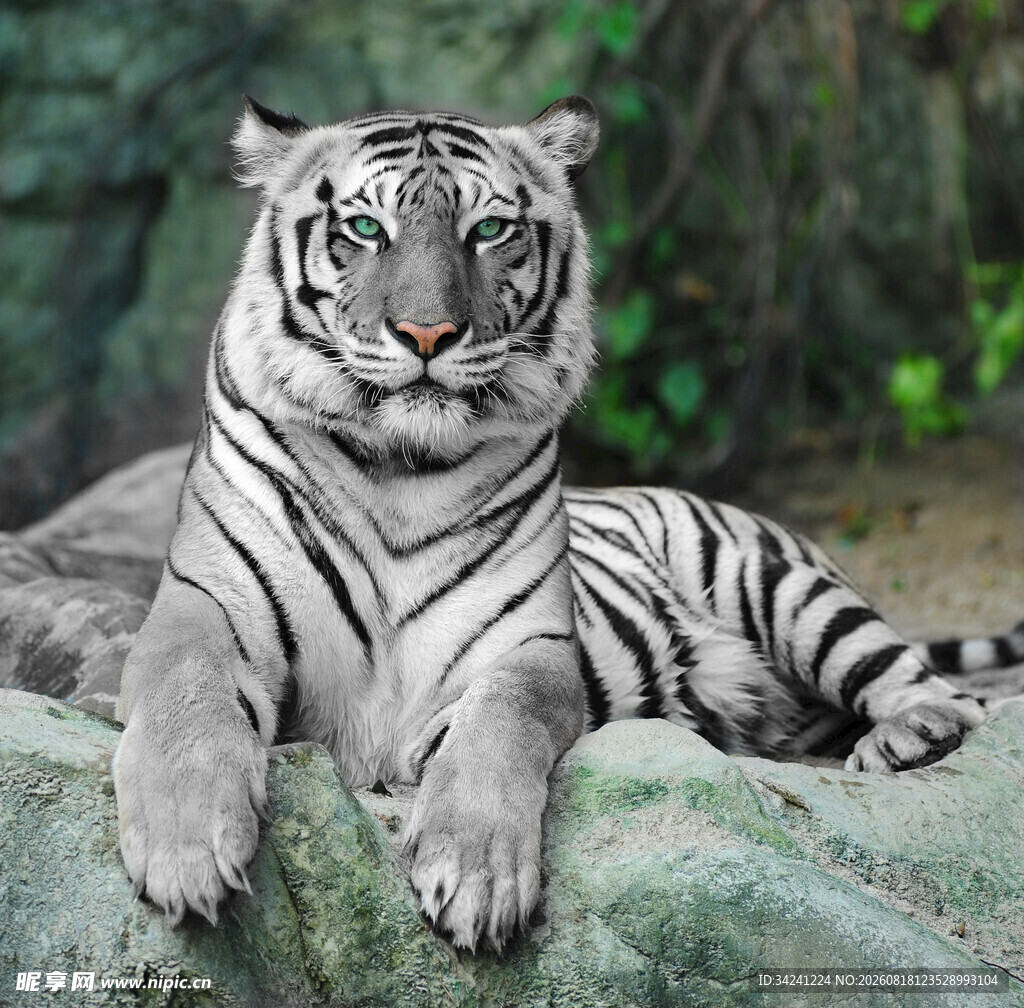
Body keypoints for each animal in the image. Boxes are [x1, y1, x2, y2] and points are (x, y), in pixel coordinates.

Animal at [112, 94, 1024, 953]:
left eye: (489, 230)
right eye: (365, 228)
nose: (428, 333)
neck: (398, 471)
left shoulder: (527, 646)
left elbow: (497, 729)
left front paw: (476, 876)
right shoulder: (203, 605)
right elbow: (185, 697)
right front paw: (186, 851)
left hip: (780, 587)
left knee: (943, 690)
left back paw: (911, 737)